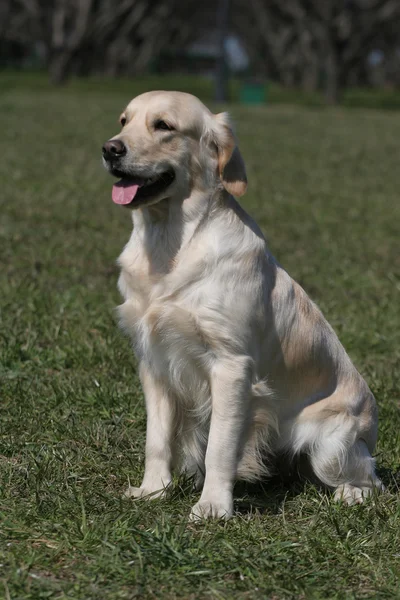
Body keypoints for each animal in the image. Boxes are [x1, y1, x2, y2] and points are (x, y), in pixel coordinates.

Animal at [102, 90, 382, 520]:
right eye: (123, 120)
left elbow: (220, 445)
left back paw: (350, 494)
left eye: (163, 126)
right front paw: (153, 490)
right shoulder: (154, 361)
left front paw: (213, 507)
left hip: (332, 446)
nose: (110, 149)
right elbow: (157, 438)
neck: (169, 241)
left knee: (371, 479)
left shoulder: (231, 366)